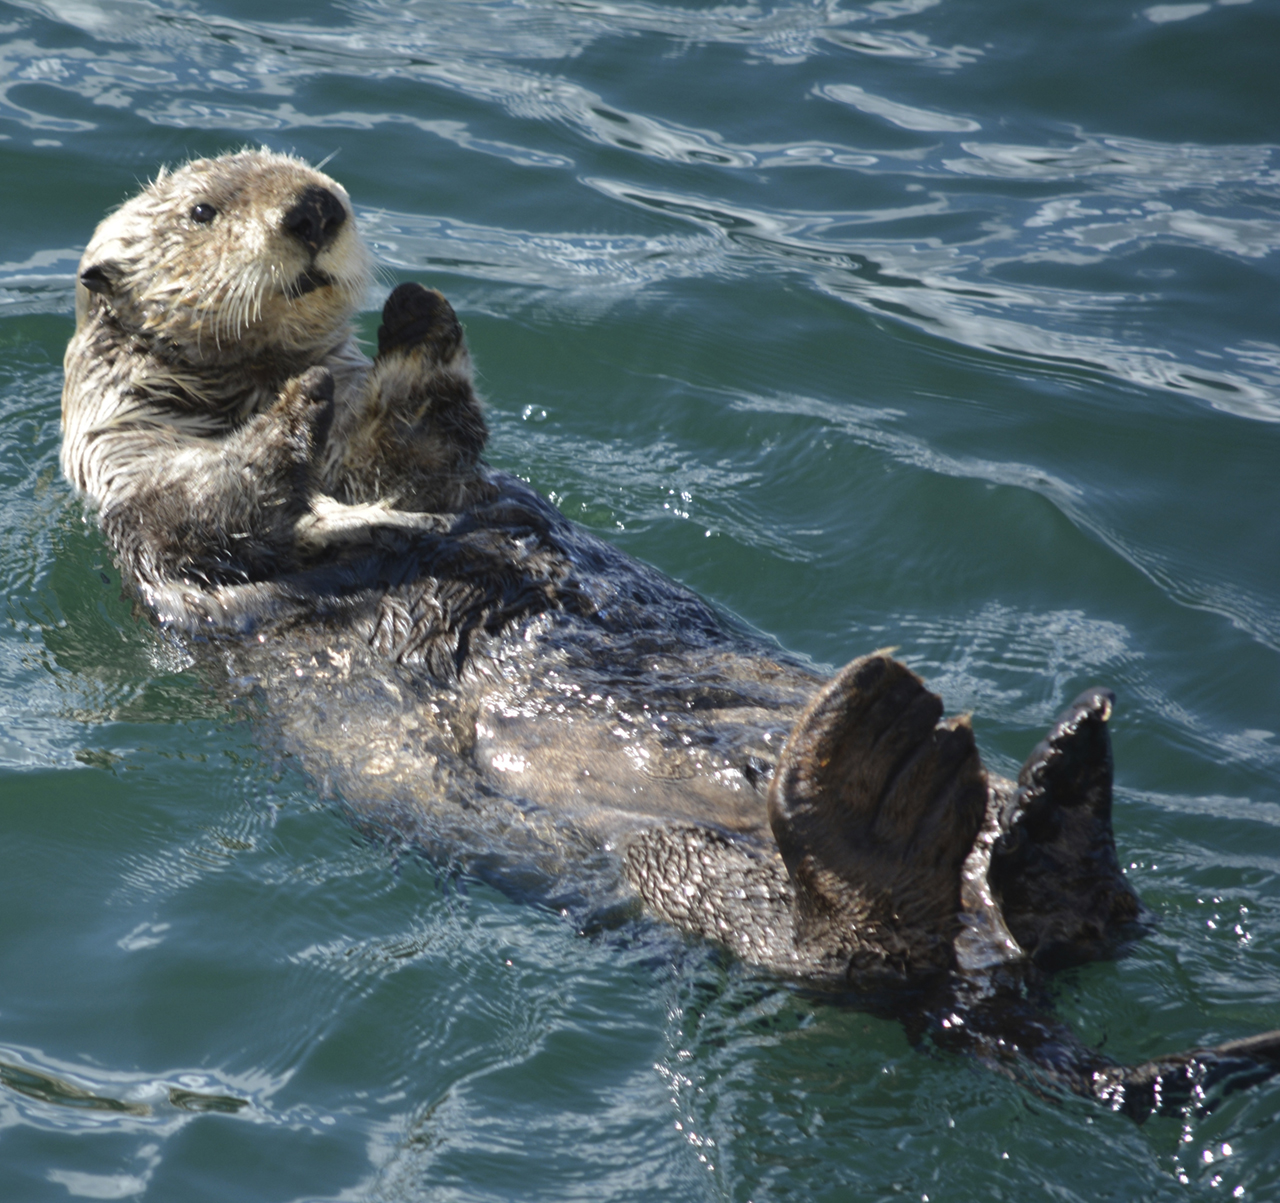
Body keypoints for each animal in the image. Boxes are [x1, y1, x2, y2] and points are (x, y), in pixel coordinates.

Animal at [60, 152, 1280, 1115]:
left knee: (1080, 920)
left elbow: (421, 438)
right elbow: (216, 507)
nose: (314, 210)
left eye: (318, 182)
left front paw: (412, 320)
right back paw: (886, 783)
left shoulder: (412, 469)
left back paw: (1054, 792)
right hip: (672, 872)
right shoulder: (142, 488)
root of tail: (987, 981)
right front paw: (296, 409)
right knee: (848, 953)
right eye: (203, 211)